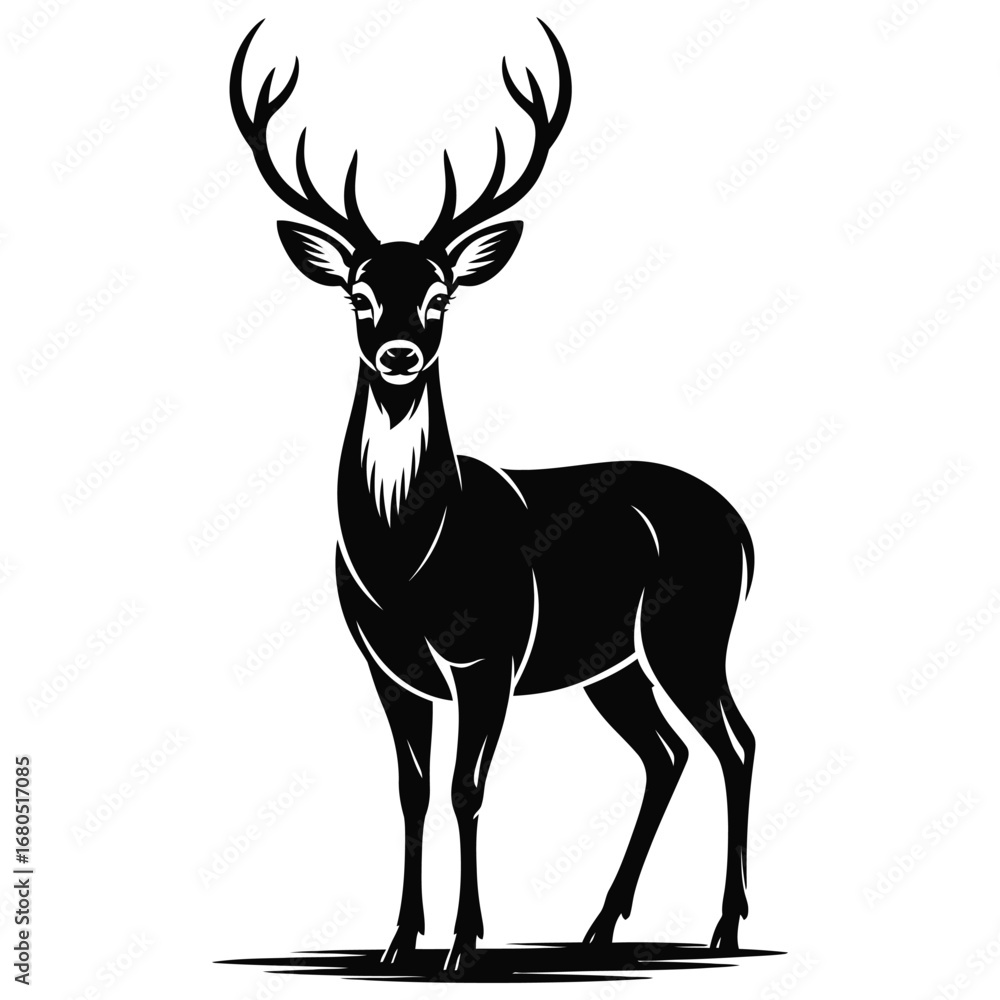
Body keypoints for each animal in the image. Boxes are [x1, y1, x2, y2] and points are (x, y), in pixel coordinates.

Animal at [231, 18, 757, 974]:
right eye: (360, 292)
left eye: (440, 293)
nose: (400, 352)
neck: (407, 562)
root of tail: (741, 530)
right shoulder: (386, 665)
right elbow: (410, 790)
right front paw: (399, 939)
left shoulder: (487, 657)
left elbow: (466, 789)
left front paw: (466, 943)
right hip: (613, 664)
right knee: (666, 754)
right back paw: (599, 926)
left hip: (690, 631)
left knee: (735, 742)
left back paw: (727, 925)